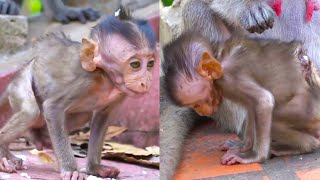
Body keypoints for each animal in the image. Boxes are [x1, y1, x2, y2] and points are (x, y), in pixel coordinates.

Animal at [0, 7, 156, 180]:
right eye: (135, 64)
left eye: (150, 64)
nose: (146, 81)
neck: (104, 77)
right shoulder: (81, 82)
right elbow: (52, 108)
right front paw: (70, 169)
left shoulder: (120, 93)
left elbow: (102, 118)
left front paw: (95, 168)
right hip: (20, 82)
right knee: (30, 112)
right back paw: (5, 153)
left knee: (82, 115)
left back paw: (38, 136)